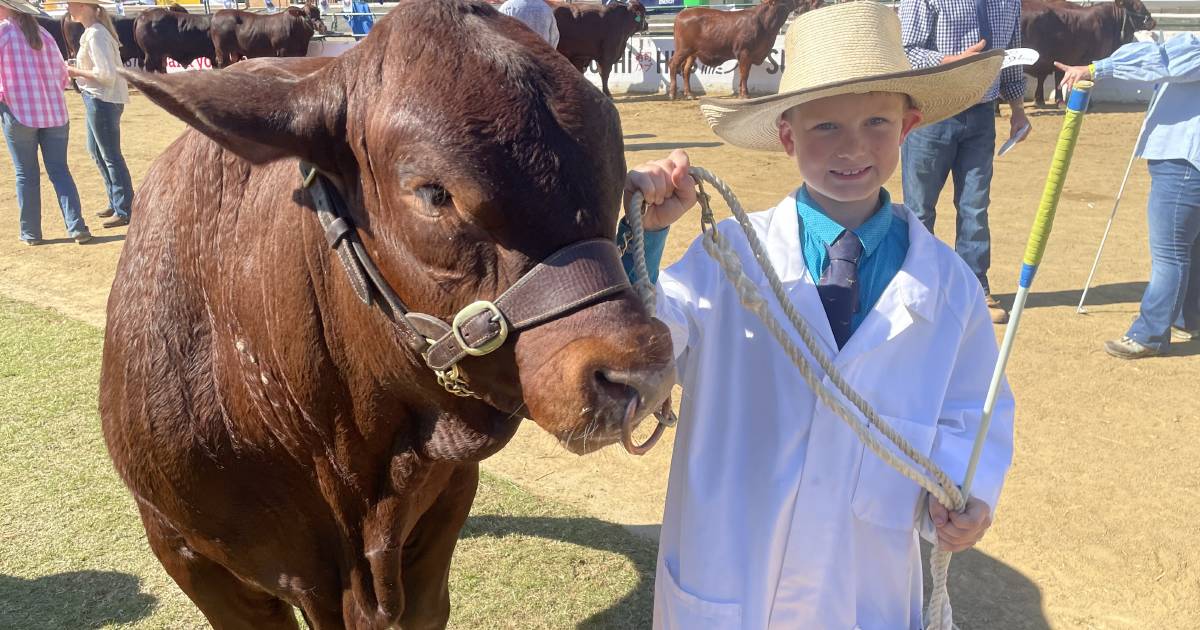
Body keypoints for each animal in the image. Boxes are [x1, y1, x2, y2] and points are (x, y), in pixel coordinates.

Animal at [667, 0, 825, 99]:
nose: (818, 2)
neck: (764, 24)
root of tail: (682, 14)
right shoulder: (744, 52)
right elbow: (744, 73)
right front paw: (744, 94)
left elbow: (744, 74)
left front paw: (743, 92)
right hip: (683, 49)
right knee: (673, 65)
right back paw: (672, 93)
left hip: (692, 53)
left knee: (686, 70)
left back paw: (689, 93)